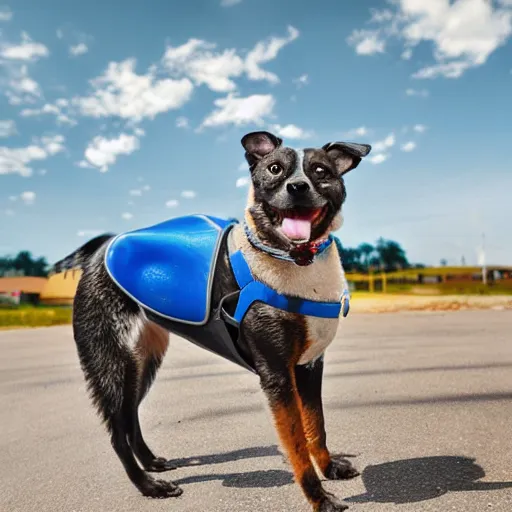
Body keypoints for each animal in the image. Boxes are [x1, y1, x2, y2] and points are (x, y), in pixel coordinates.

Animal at [54, 133, 370, 512]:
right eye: (274, 169)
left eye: (320, 171)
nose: (297, 187)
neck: (291, 257)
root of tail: (104, 246)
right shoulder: (278, 376)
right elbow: (296, 444)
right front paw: (320, 498)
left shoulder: (309, 366)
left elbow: (316, 426)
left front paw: (329, 467)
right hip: (109, 361)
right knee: (117, 431)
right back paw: (148, 486)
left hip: (142, 361)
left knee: (130, 416)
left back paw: (152, 463)